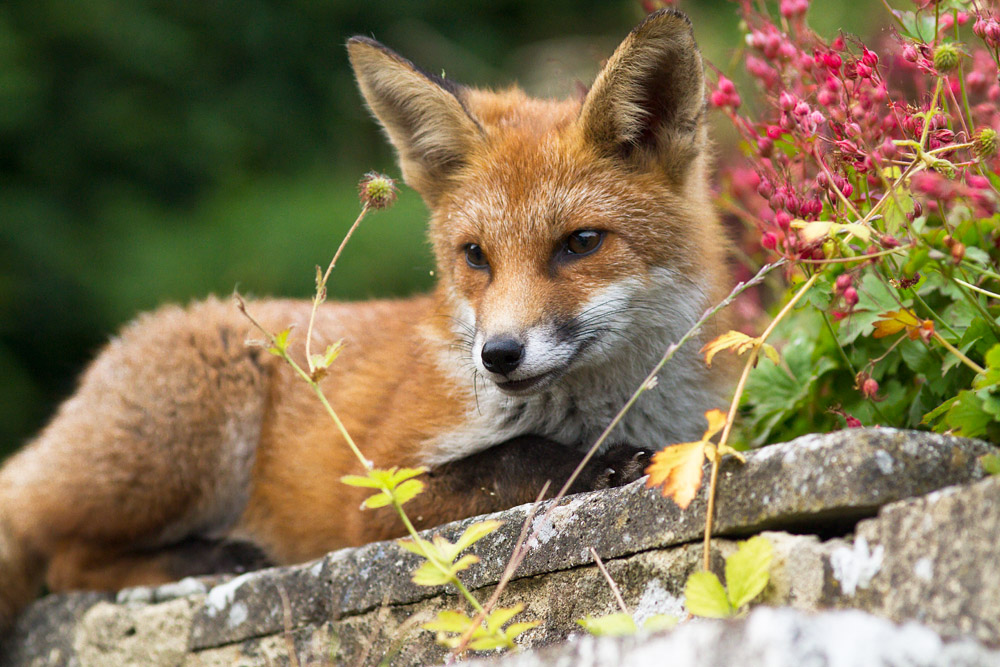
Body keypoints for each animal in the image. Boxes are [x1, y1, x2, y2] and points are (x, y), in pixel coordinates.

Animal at [0, 8, 731, 631]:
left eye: (580, 243)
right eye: (476, 255)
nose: (497, 354)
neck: (598, 411)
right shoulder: (376, 502)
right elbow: (509, 457)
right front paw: (597, 464)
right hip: (184, 445)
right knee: (65, 561)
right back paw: (209, 559)